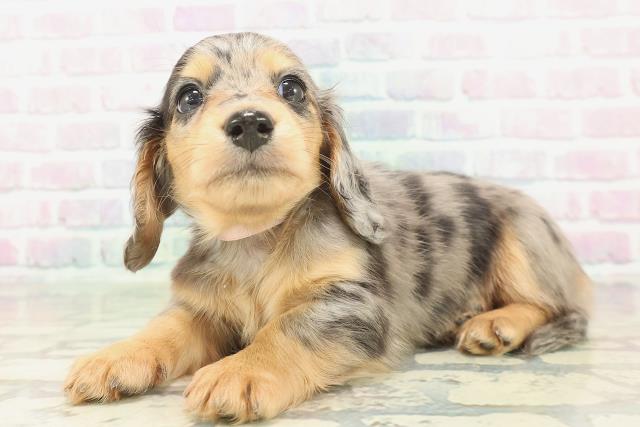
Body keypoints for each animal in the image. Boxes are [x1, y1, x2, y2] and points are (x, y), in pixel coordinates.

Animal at [64, 32, 593, 422]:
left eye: (292, 89)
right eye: (189, 97)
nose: (250, 122)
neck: (259, 236)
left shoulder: (351, 303)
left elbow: (288, 327)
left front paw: (240, 370)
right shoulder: (203, 308)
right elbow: (165, 328)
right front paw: (113, 358)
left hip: (522, 240)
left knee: (555, 307)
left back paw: (495, 324)